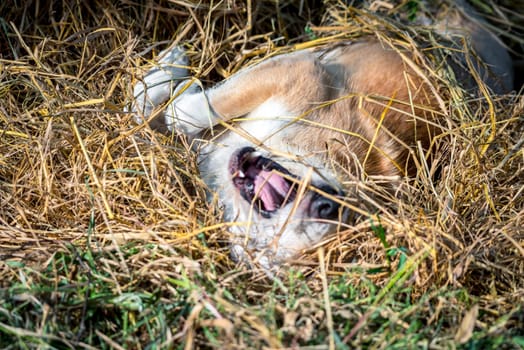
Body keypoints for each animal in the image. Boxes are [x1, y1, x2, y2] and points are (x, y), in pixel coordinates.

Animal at [129, 2, 512, 268]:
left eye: (272, 247)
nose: (328, 205)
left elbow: (162, 116)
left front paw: (172, 87)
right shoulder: (299, 71)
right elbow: (177, 108)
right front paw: (171, 70)